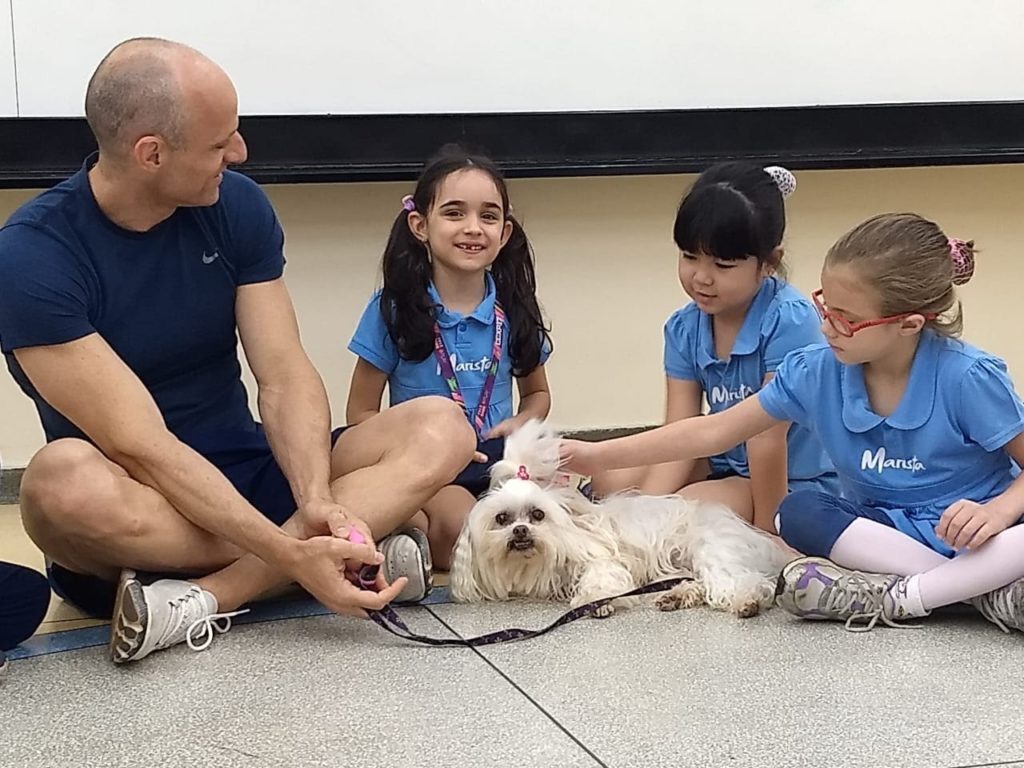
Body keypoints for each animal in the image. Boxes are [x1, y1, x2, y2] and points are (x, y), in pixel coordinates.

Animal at [450, 421, 790, 618]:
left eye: (537, 514)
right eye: (502, 518)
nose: (520, 531)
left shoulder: (601, 559)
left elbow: (599, 579)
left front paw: (597, 601)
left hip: (711, 550)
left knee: (743, 582)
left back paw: (746, 600)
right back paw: (676, 596)